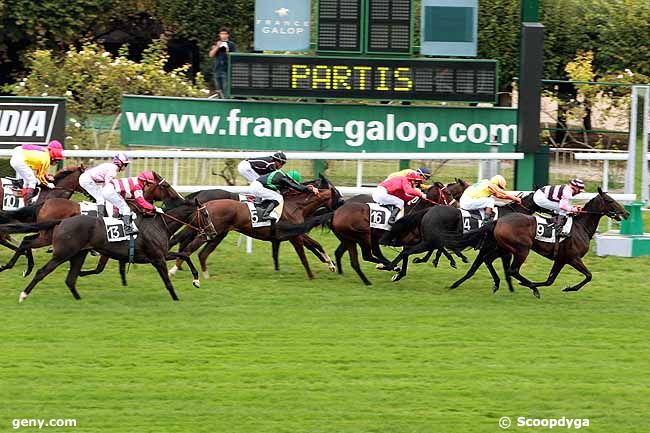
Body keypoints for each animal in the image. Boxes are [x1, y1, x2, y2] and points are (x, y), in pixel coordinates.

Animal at [446, 189, 628, 296]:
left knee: (489, 260)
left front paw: (562, 287)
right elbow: (589, 276)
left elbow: (550, 280)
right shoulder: (573, 258)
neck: (580, 227)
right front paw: (569, 288)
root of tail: (498, 221)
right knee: (512, 269)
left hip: (503, 247)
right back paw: (531, 287)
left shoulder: (561, 259)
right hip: (521, 249)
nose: (626, 213)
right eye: (610, 200)